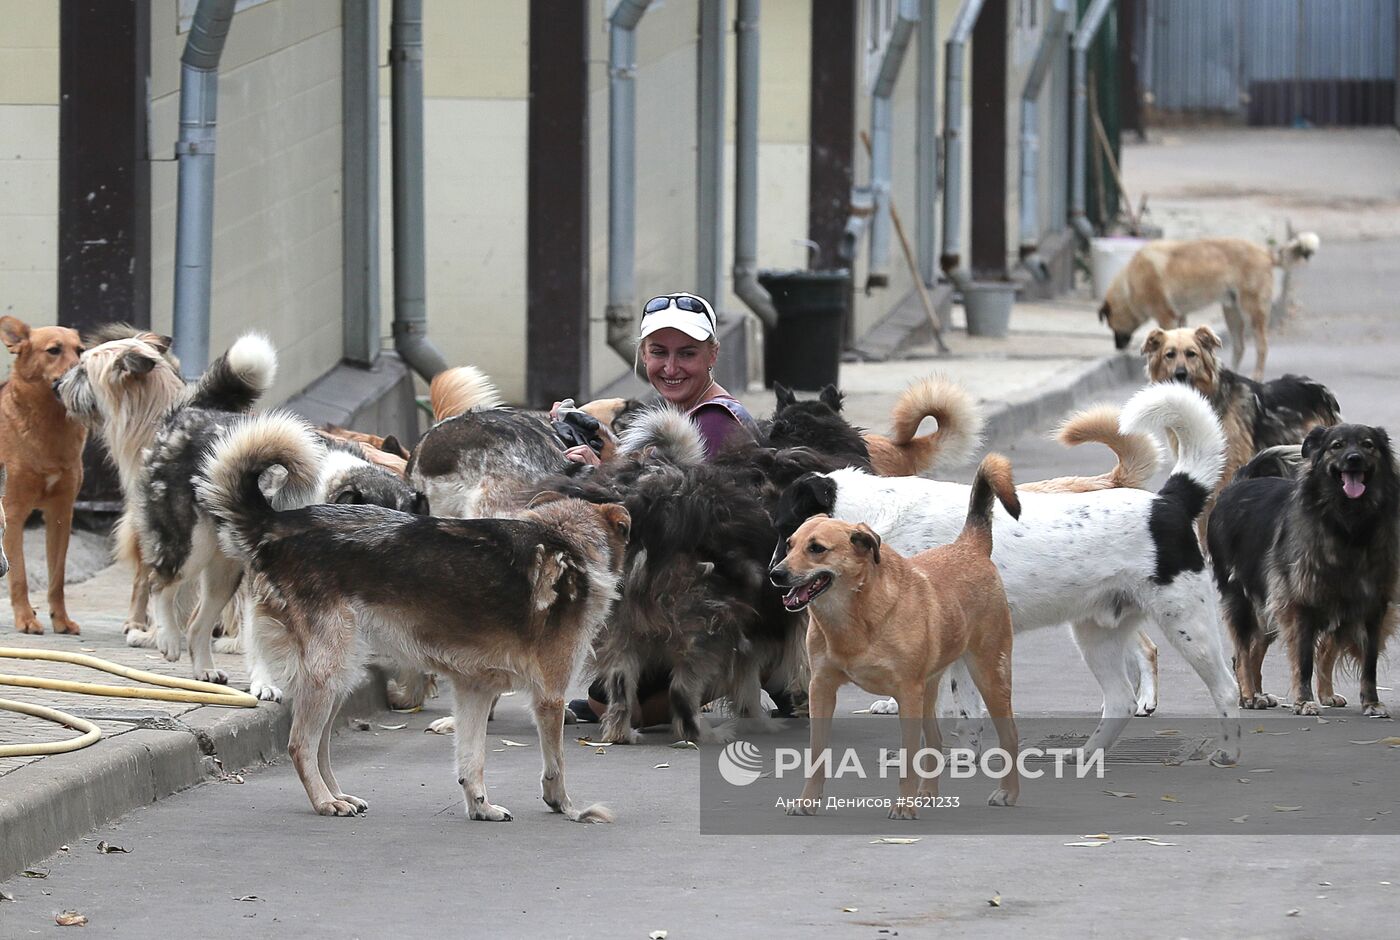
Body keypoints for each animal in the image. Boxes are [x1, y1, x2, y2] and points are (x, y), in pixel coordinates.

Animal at [0, 319, 86, 636]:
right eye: (53, 350)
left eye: (80, 350)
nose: (80, 370)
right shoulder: (13, 512)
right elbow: (20, 576)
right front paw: (26, 618)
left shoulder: (61, 513)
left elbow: (57, 578)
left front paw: (60, 620)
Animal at [772, 453, 1024, 818]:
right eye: (790, 544)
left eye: (817, 549)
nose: (775, 574)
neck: (856, 615)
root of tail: (969, 547)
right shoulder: (821, 688)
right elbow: (817, 753)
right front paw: (807, 801)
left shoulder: (906, 693)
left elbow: (908, 758)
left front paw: (903, 806)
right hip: (931, 687)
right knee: (934, 741)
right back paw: (928, 794)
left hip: (990, 674)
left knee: (1009, 735)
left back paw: (1007, 792)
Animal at [778, 386, 1248, 767]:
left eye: (801, 539)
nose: (776, 576)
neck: (875, 521)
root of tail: (1168, 502)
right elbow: (956, 711)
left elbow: (953, 710)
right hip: (1096, 632)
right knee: (1119, 700)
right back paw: (1086, 755)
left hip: (1187, 625)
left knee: (1225, 689)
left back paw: (1228, 752)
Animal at [1209, 423, 1394, 717]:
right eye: (1337, 446)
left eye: (1368, 445)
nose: (1354, 459)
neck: (1346, 525)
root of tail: (1238, 484)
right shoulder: (1300, 604)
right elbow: (1305, 658)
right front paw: (1304, 701)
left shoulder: (1372, 607)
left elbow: (1367, 661)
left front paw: (1371, 702)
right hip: (1242, 600)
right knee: (1242, 651)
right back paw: (1248, 694)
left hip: (1269, 605)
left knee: (1255, 649)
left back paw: (1259, 694)